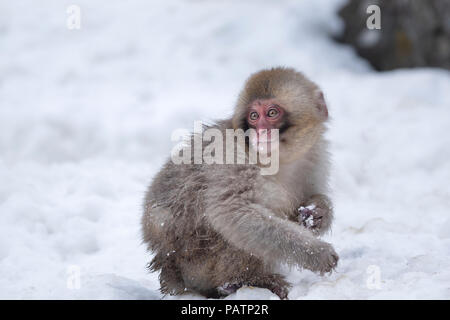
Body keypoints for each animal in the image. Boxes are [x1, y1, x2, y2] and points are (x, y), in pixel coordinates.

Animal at [142, 66, 338, 298]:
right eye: (253, 116)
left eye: (272, 113)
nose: (260, 132)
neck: (280, 159)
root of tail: (166, 266)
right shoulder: (231, 156)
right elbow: (231, 211)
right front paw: (316, 252)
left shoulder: (314, 156)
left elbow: (310, 197)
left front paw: (318, 213)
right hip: (196, 262)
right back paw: (243, 281)